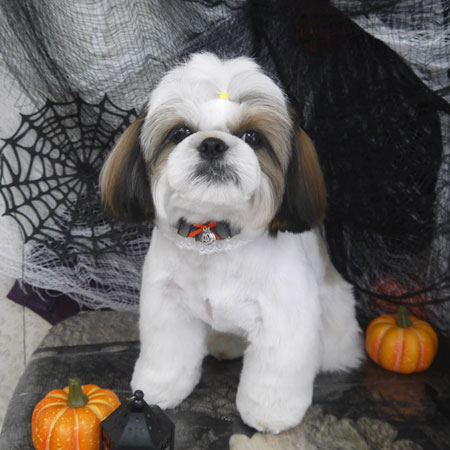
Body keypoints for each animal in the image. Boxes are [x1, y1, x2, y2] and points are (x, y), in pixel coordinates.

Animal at [100, 53, 363, 434]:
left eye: (252, 136)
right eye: (180, 132)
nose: (212, 143)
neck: (215, 237)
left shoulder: (284, 318)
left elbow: (275, 373)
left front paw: (270, 412)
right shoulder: (168, 305)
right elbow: (167, 355)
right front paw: (158, 390)